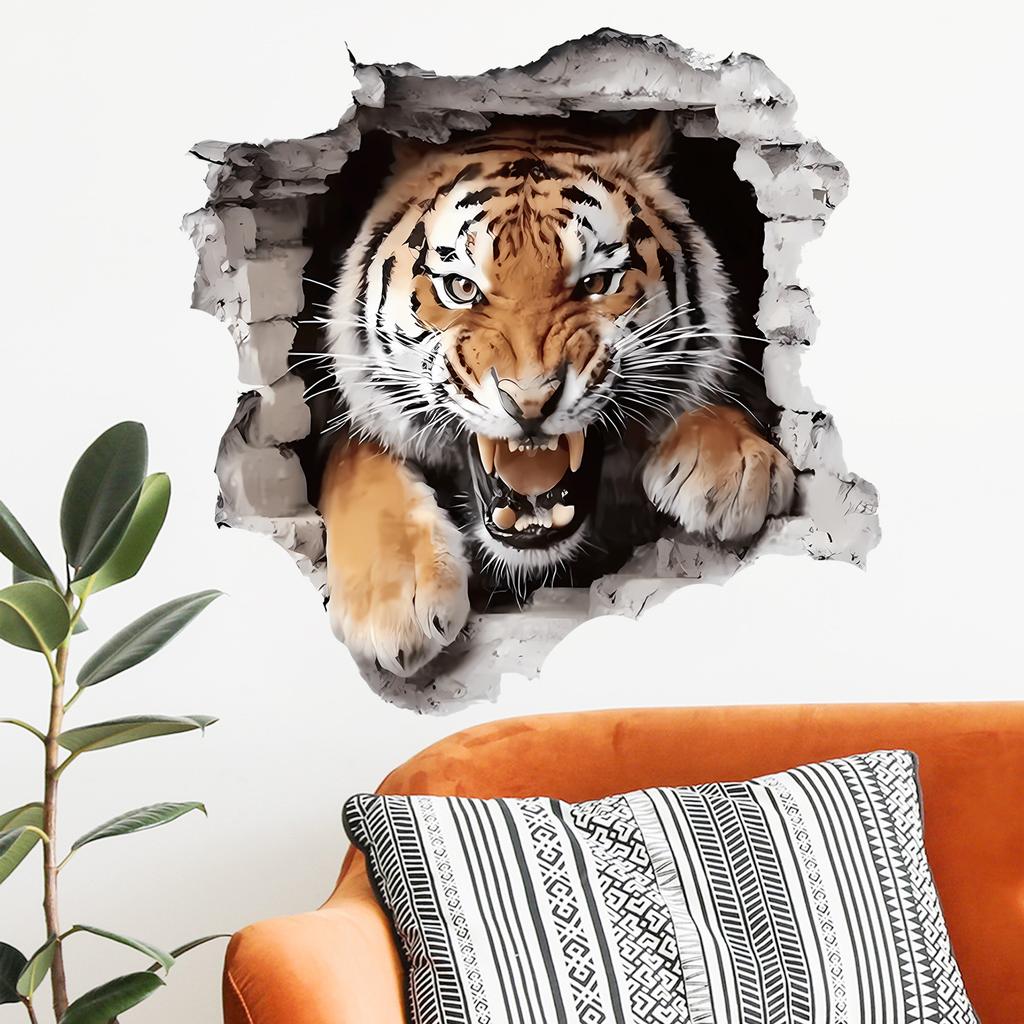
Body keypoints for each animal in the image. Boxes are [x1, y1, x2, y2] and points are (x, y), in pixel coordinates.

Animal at [320, 113, 794, 677]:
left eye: (595, 283)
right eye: (461, 288)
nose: (529, 401)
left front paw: (733, 467)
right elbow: (354, 454)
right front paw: (393, 601)